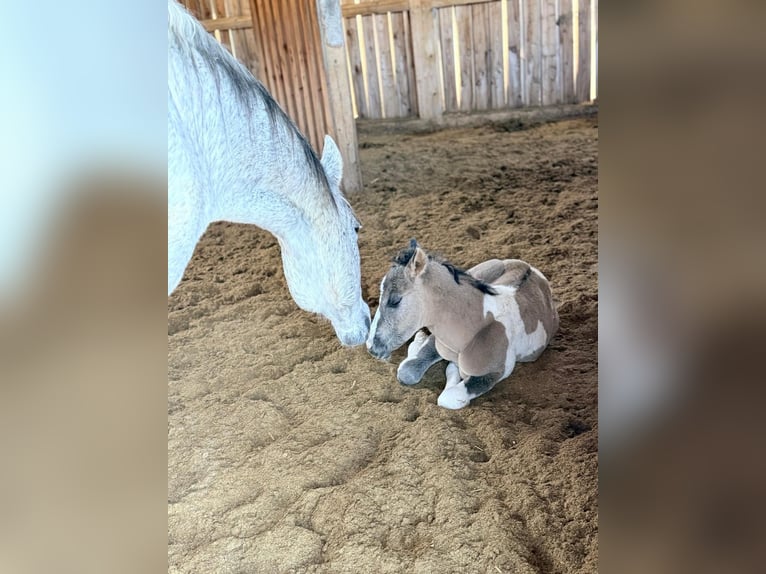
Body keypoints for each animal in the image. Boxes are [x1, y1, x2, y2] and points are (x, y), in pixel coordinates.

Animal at [366, 240, 559, 409]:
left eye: (395, 300)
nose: (371, 347)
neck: (473, 332)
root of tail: (530, 267)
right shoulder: (439, 341)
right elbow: (408, 370)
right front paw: (421, 346)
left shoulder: (496, 372)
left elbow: (449, 397)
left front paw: (453, 370)